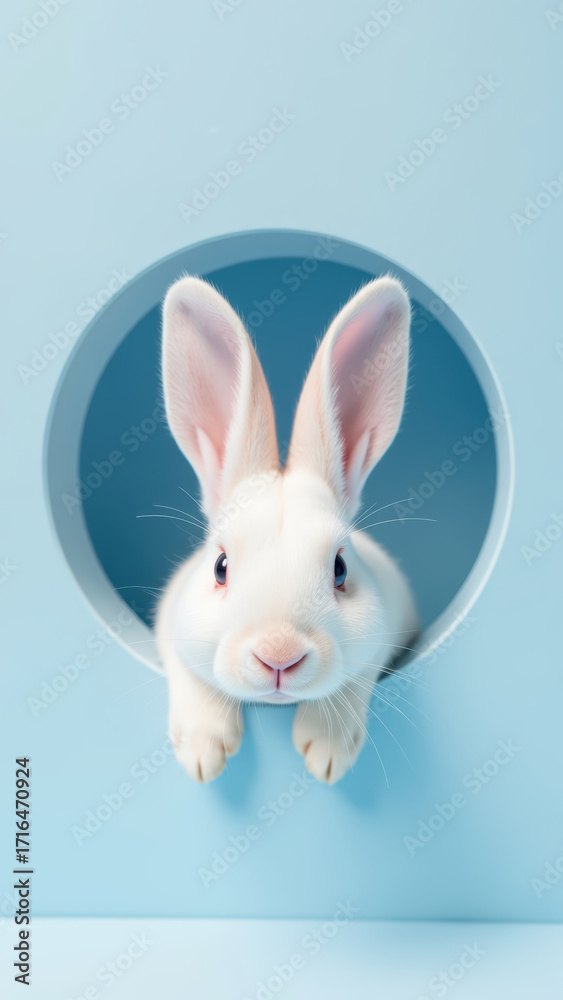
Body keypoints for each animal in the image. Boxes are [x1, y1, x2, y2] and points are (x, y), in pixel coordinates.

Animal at [156, 272, 420, 784]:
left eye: (339, 569)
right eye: (220, 567)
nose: (279, 656)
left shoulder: (386, 630)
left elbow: (353, 677)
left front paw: (326, 754)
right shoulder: (169, 627)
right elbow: (194, 679)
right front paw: (203, 756)